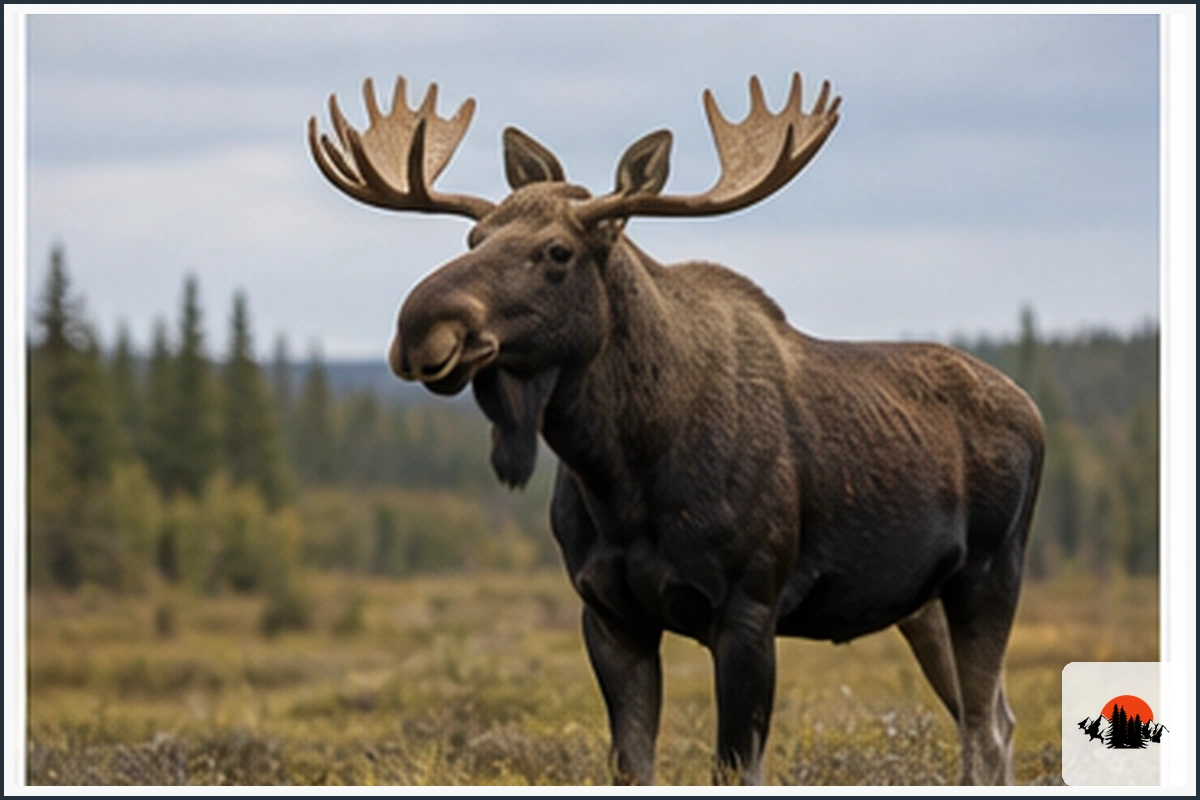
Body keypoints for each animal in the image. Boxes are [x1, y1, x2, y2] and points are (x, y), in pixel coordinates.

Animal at [308, 73, 1045, 785]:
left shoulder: (748, 611)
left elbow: (734, 767)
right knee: (994, 721)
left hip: (990, 573)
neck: (621, 473)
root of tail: (1032, 411)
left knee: (985, 732)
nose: (420, 327)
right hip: (921, 603)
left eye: (557, 251)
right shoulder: (609, 615)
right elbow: (631, 765)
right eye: (472, 239)